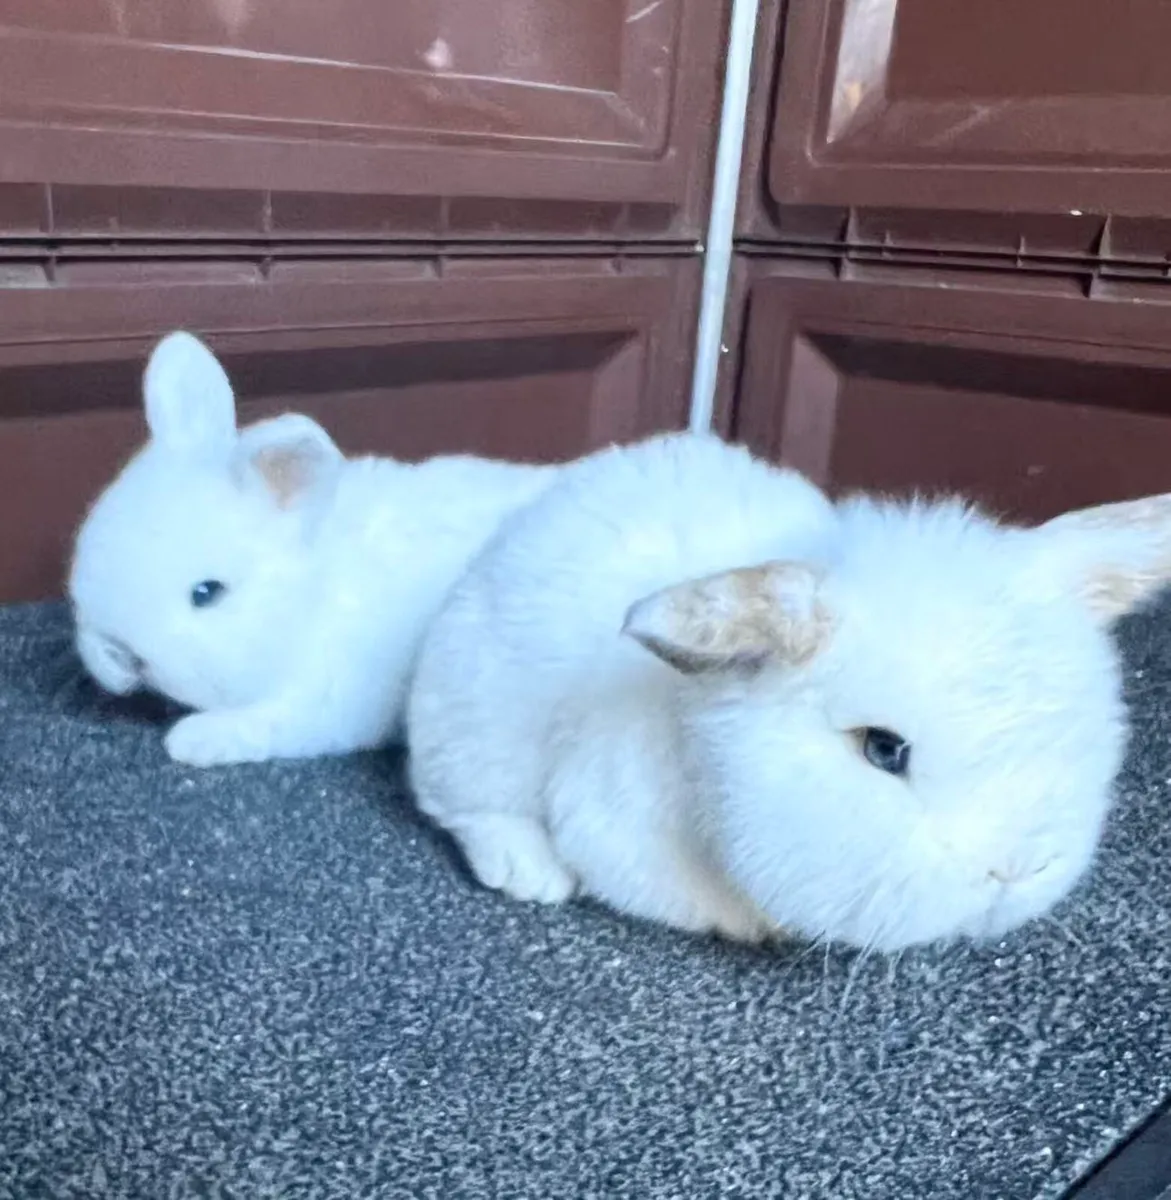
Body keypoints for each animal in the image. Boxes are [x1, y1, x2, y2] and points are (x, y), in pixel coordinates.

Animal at [69, 331, 558, 768]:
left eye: (207, 593)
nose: (120, 652)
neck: (312, 596)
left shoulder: (326, 700)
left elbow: (267, 725)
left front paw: (193, 740)